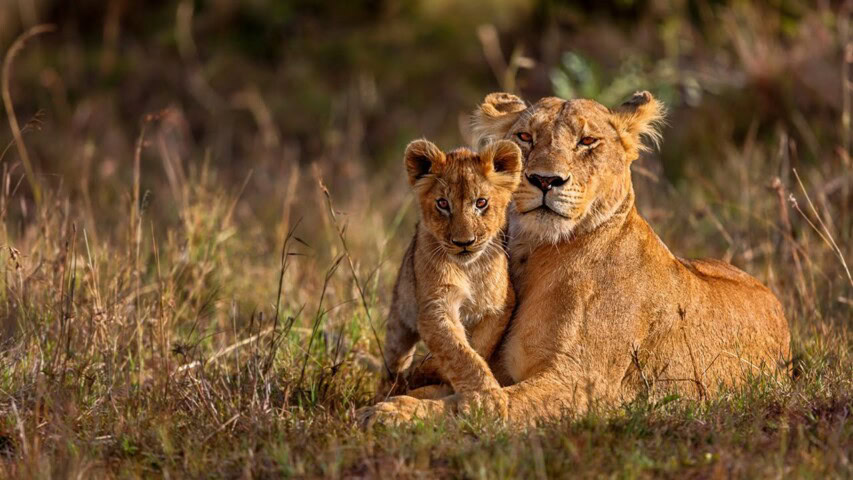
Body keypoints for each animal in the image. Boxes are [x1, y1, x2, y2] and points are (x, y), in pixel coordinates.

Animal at [377, 138, 523, 400]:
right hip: (399, 319)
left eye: (481, 202)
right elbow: (459, 353)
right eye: (443, 204)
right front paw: (487, 398)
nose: (464, 242)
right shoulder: (435, 306)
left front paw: (430, 370)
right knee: (394, 360)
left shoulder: (500, 306)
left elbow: (478, 346)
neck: (469, 269)